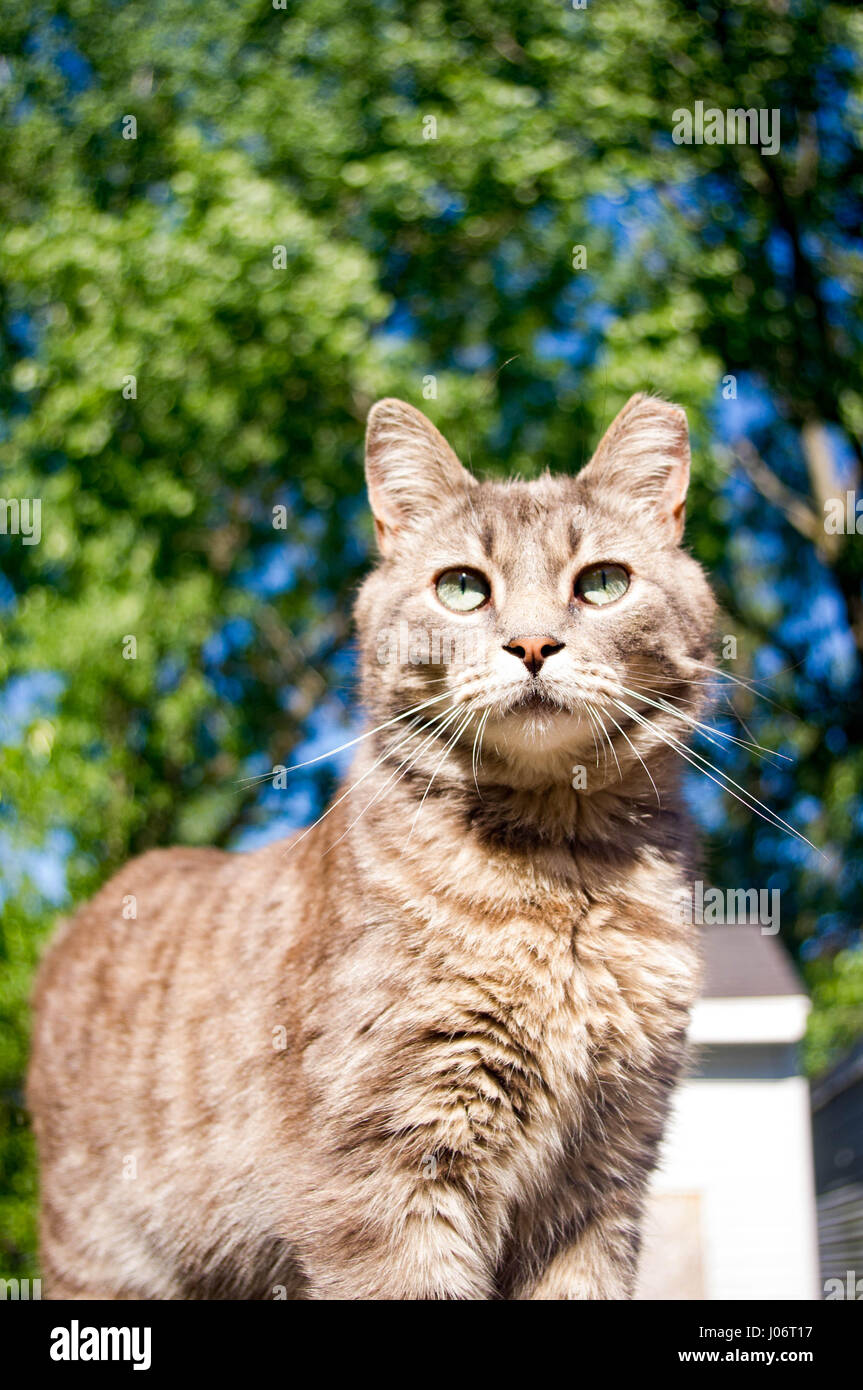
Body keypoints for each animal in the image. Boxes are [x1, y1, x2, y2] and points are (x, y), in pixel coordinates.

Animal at [26, 394, 711, 1301]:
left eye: (603, 583)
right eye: (461, 588)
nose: (532, 646)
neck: (560, 877)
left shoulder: (603, 1180)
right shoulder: (388, 1179)